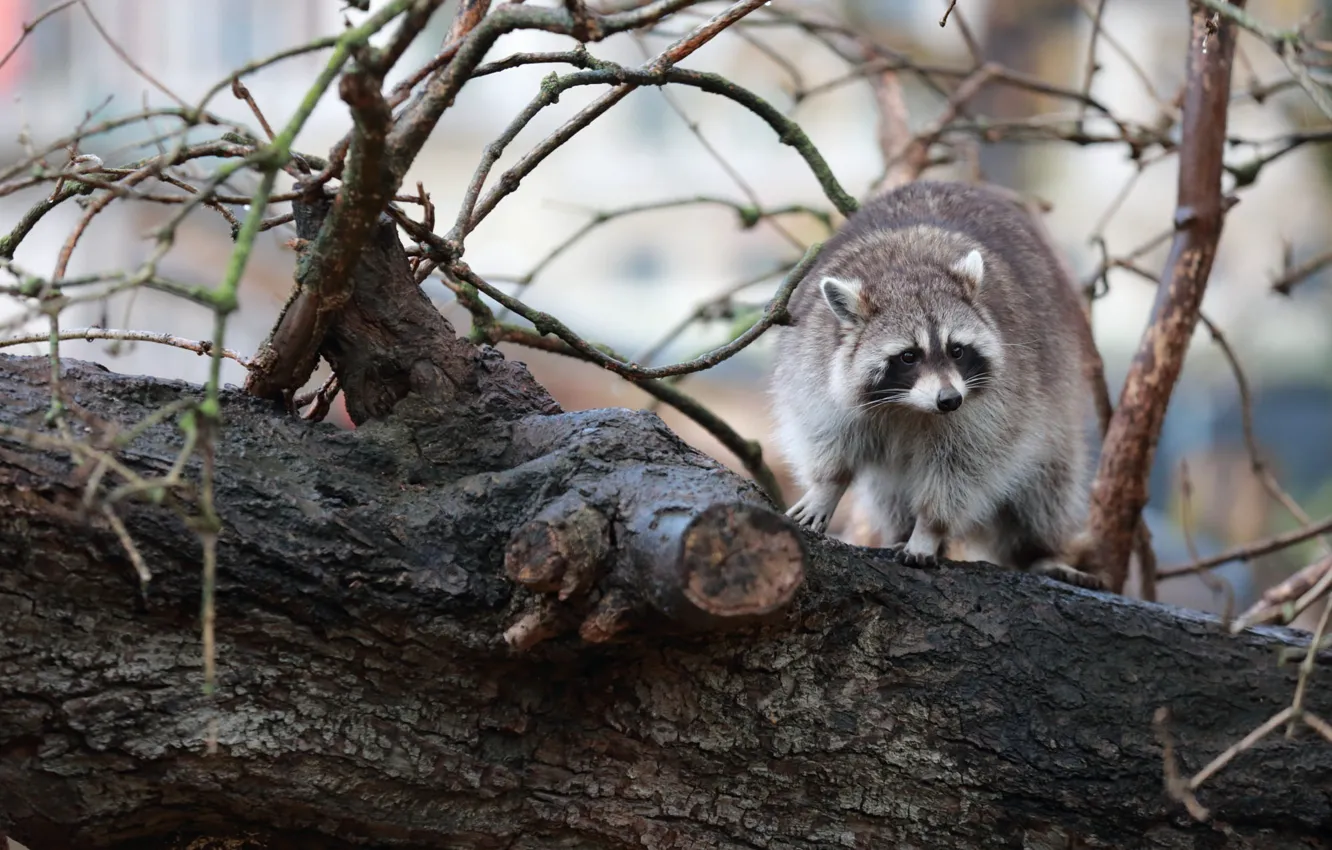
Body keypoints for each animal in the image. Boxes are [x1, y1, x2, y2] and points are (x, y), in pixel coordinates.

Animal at [769, 180, 1103, 589]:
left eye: (956, 350)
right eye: (908, 356)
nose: (950, 400)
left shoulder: (1000, 401)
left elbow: (965, 466)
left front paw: (929, 528)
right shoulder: (813, 363)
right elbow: (825, 432)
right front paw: (826, 487)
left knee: (1046, 489)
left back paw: (1041, 552)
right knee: (888, 491)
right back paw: (900, 529)